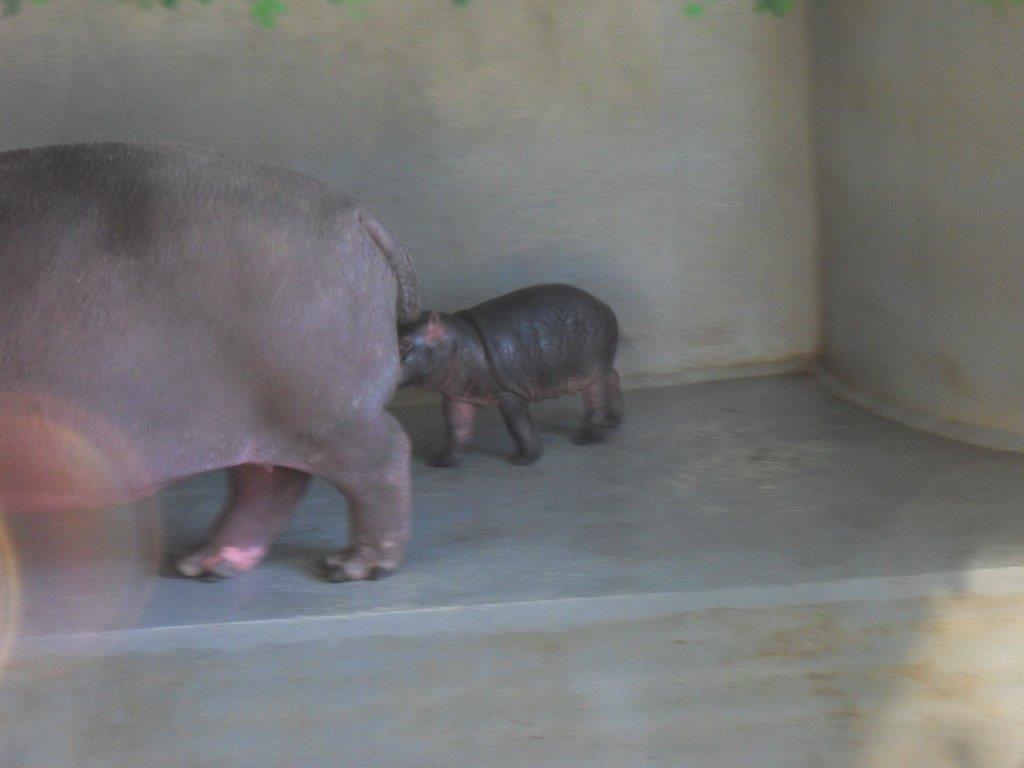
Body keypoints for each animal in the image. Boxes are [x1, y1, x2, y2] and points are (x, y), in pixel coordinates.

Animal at [0, 141, 419, 581]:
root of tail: (357, 215)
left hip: (328, 414)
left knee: (382, 458)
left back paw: (355, 565)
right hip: (267, 424)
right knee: (270, 481)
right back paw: (203, 563)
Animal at [397, 284, 623, 466]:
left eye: (406, 343)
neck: (458, 342)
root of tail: (605, 305)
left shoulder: (508, 393)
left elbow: (518, 425)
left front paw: (524, 460)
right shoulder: (456, 396)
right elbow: (456, 428)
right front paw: (443, 461)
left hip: (593, 371)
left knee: (596, 400)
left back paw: (587, 439)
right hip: (602, 365)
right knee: (612, 376)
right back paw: (614, 421)